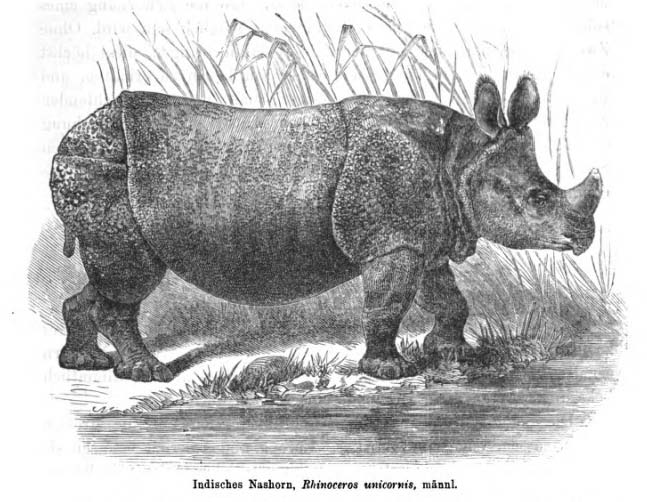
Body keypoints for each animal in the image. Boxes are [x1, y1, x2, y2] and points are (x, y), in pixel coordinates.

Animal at [50, 74, 602, 382]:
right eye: (538, 199)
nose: (584, 239)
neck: (462, 159)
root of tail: (73, 134)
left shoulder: (421, 238)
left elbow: (448, 297)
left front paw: (454, 354)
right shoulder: (391, 241)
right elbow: (388, 302)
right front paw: (389, 371)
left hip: (95, 168)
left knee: (109, 276)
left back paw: (83, 363)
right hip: (100, 168)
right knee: (130, 277)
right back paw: (148, 374)